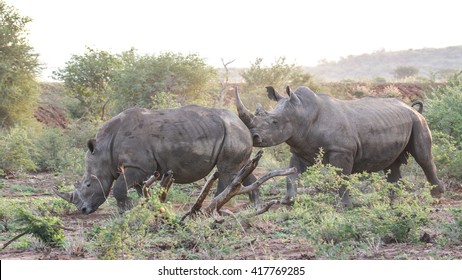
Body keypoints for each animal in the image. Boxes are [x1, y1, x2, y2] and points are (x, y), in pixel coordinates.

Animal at [54, 105, 258, 214]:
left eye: (88, 184)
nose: (82, 210)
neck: (104, 150)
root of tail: (242, 123)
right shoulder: (138, 168)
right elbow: (139, 189)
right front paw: (141, 207)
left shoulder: (138, 166)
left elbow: (119, 188)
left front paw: (125, 211)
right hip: (232, 132)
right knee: (241, 170)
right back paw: (255, 206)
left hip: (233, 132)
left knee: (226, 170)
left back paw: (213, 207)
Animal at [236, 85, 446, 206]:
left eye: (274, 122)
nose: (253, 137)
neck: (302, 113)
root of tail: (411, 108)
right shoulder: (299, 149)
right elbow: (291, 174)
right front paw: (289, 201)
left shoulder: (341, 151)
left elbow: (341, 177)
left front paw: (343, 206)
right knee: (392, 165)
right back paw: (393, 202)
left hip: (418, 122)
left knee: (424, 158)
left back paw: (436, 198)